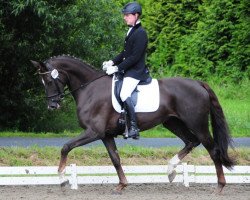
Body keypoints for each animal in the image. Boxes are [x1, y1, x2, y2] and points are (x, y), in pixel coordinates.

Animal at [30, 55, 234, 194]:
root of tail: (198, 83)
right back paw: (170, 171)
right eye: (42, 82)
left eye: (49, 80)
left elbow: (65, 147)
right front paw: (122, 184)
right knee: (191, 142)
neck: (89, 89)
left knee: (213, 150)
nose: (52, 106)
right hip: (172, 122)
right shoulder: (106, 135)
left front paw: (62, 179)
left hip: (198, 124)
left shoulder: (93, 132)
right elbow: (115, 159)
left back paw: (219, 186)